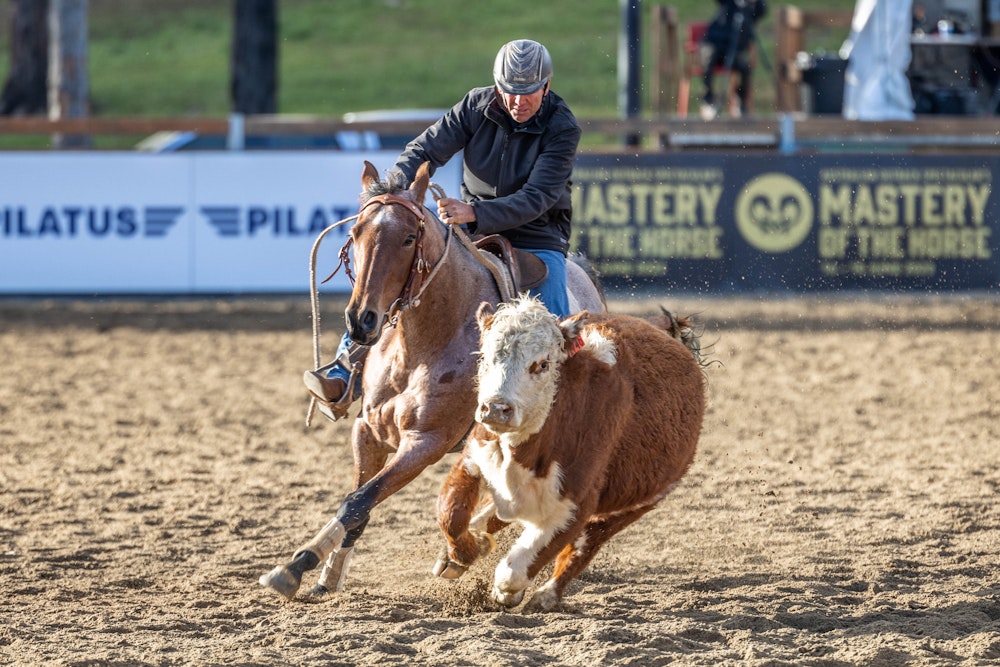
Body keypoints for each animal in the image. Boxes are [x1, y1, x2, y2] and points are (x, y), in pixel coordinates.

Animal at [258, 160, 604, 600]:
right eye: (354, 234)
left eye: (408, 238)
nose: (361, 320)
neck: (422, 346)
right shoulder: (368, 431)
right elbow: (358, 504)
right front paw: (325, 572)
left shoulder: (426, 441)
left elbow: (359, 500)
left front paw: (296, 566)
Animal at [434, 294, 708, 612]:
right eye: (484, 358)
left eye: (542, 364)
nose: (496, 408)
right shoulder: (474, 459)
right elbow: (451, 514)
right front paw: (465, 551)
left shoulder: (577, 503)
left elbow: (513, 571)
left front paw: (506, 593)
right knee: (498, 513)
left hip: (639, 502)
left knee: (584, 546)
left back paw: (546, 595)